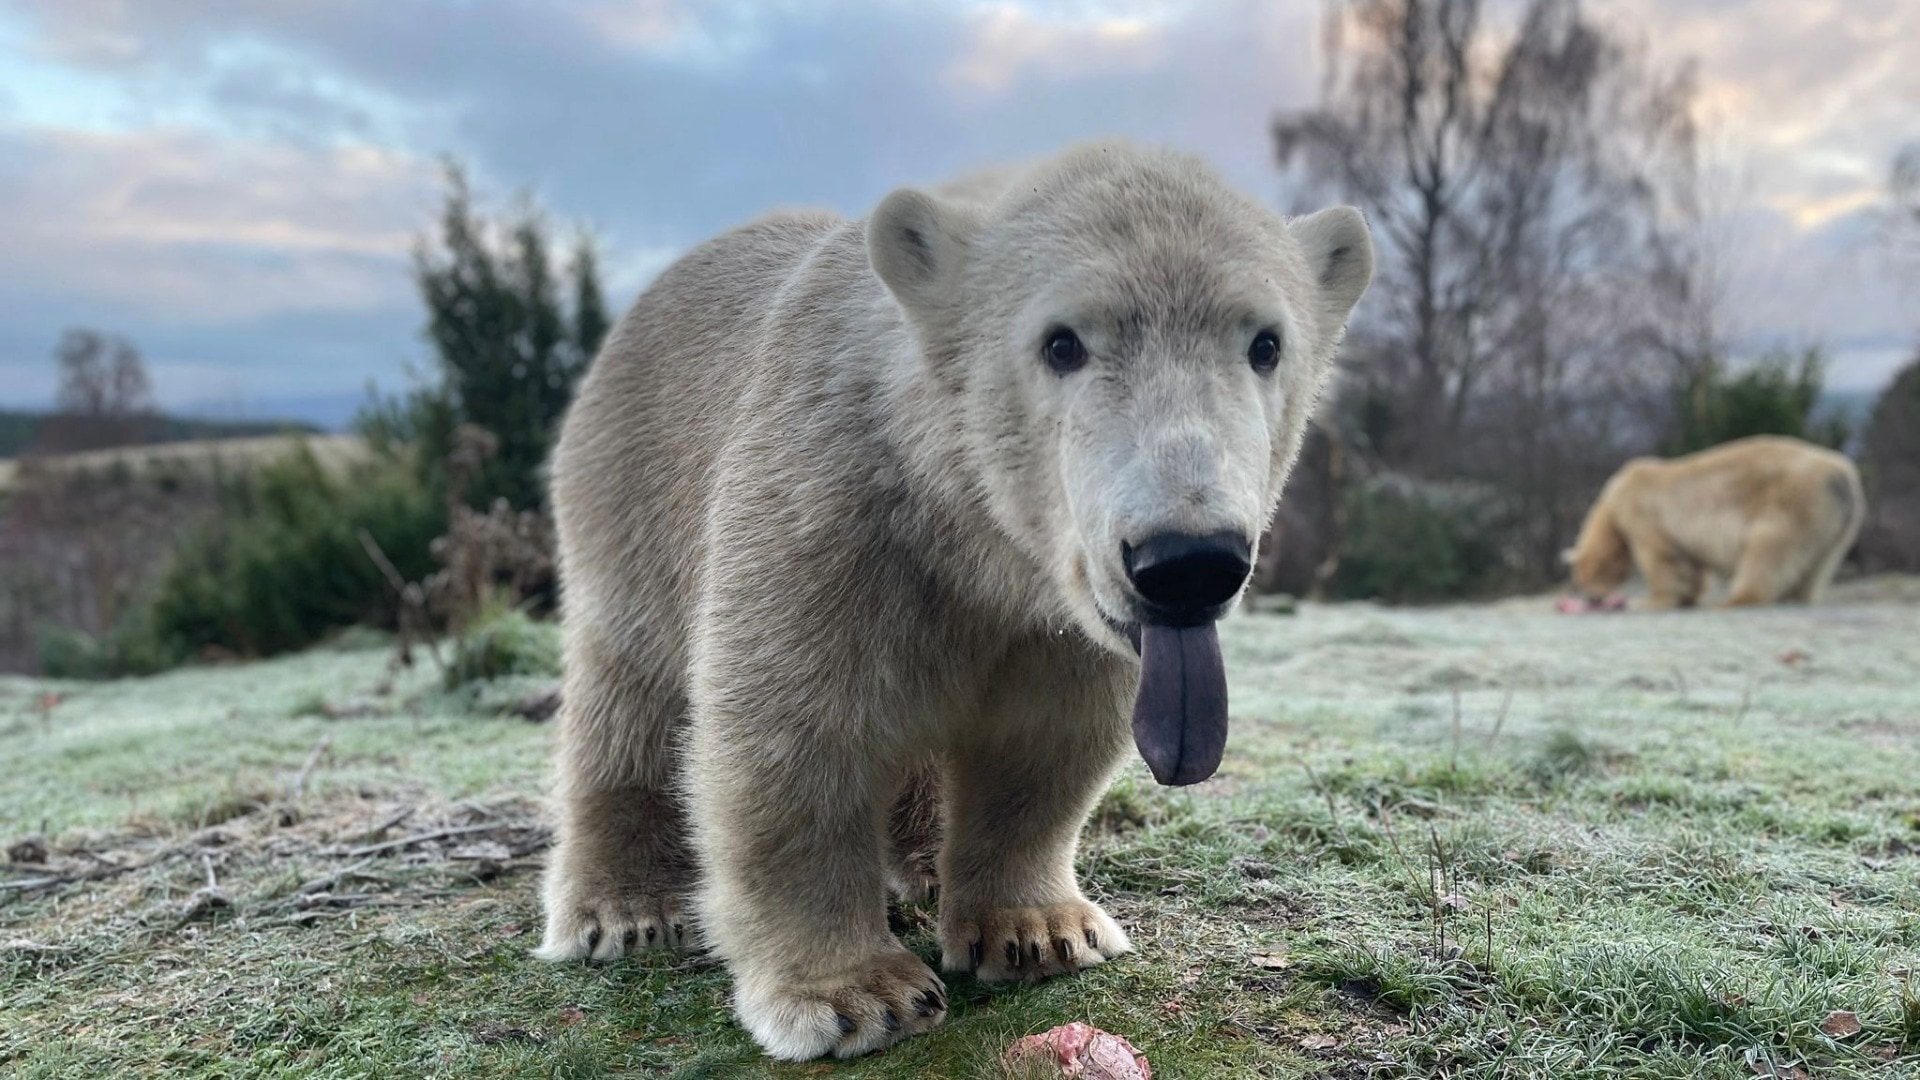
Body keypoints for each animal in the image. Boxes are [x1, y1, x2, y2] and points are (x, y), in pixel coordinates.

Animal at [535, 141, 1374, 1060]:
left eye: (1266, 343)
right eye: (1061, 343)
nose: (1187, 563)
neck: (972, 536)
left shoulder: (1054, 623)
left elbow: (1045, 743)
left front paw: (1038, 931)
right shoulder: (829, 510)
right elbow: (793, 734)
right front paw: (855, 995)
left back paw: (923, 864)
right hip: (629, 495)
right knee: (627, 693)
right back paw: (625, 909)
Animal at [1566, 435, 1865, 610]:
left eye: (1584, 576)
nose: (1591, 598)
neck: (1612, 501)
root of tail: (1840, 477)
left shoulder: (1643, 514)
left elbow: (1660, 558)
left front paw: (1648, 601)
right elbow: (1691, 564)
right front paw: (1688, 597)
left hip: (1789, 501)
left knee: (1768, 548)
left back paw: (1737, 598)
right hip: (1837, 524)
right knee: (1818, 563)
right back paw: (1795, 595)